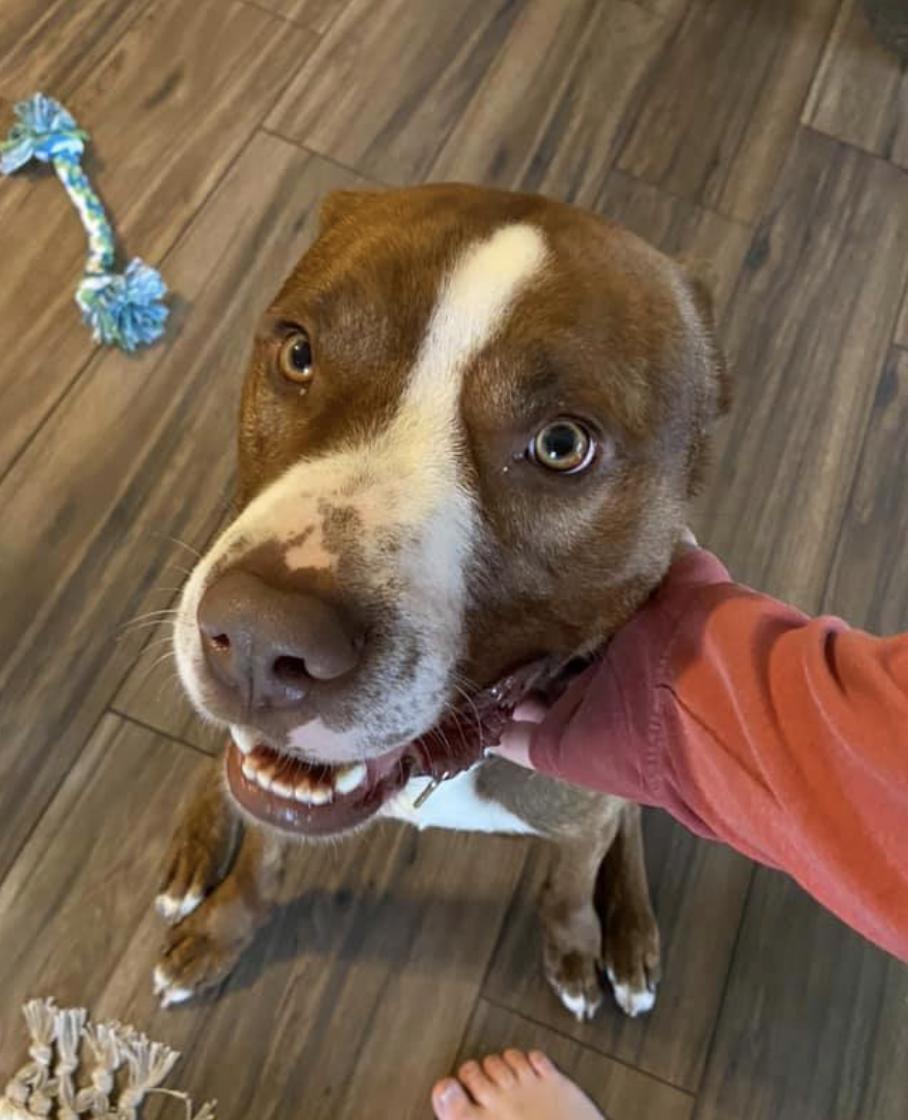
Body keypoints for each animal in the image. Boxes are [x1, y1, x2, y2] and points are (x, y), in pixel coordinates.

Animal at [152, 183, 729, 1025]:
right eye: (298, 354)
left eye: (563, 445)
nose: (260, 636)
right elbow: (261, 854)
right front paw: (221, 928)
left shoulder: (586, 796)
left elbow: (573, 880)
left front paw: (580, 942)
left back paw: (629, 932)